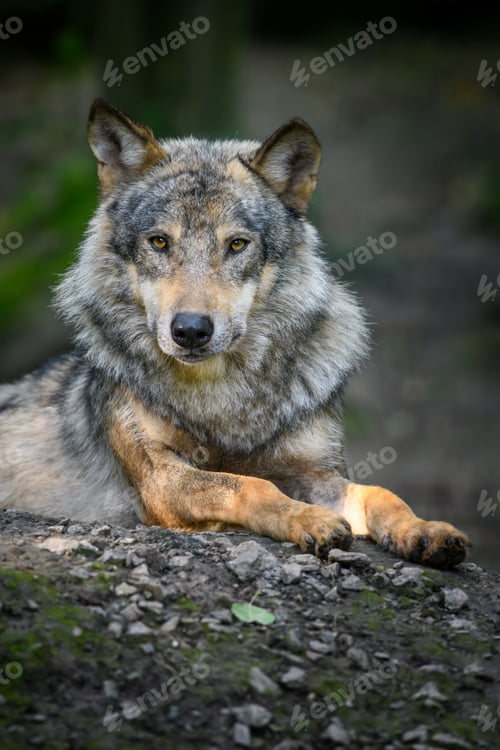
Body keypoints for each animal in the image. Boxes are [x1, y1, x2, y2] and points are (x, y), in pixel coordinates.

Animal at [0, 99, 468, 567]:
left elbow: (380, 493)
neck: (221, 396)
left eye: (237, 245)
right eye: (159, 242)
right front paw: (309, 520)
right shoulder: (162, 479)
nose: (190, 330)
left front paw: (424, 530)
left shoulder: (316, 470)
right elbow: (249, 485)